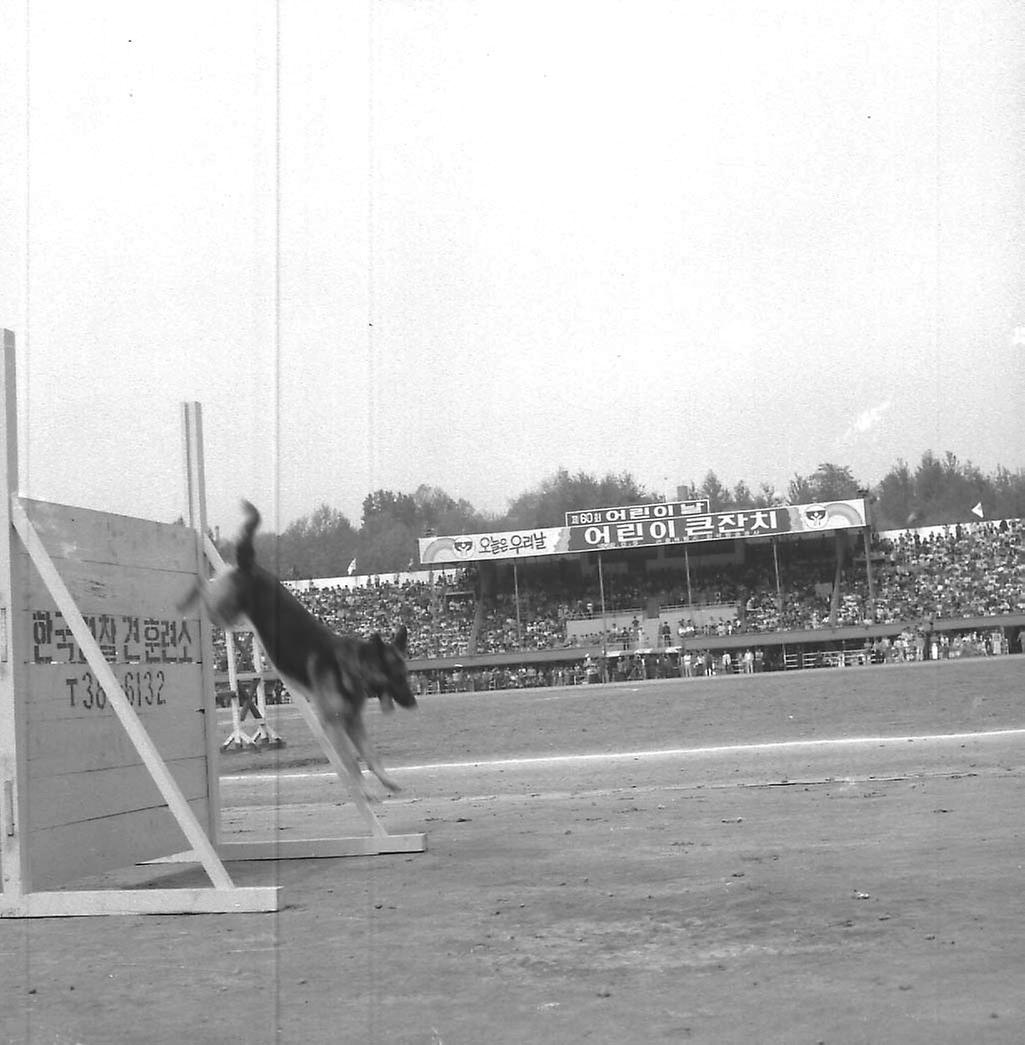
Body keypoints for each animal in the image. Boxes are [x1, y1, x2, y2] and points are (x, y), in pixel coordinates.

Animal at [180, 501, 415, 794]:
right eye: (394, 676)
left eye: (405, 675)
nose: (413, 703)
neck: (349, 666)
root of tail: (251, 566)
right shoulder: (333, 724)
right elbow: (351, 763)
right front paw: (366, 791)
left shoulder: (353, 723)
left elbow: (371, 755)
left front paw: (387, 781)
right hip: (221, 613)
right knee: (204, 589)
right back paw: (189, 591)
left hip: (230, 615)